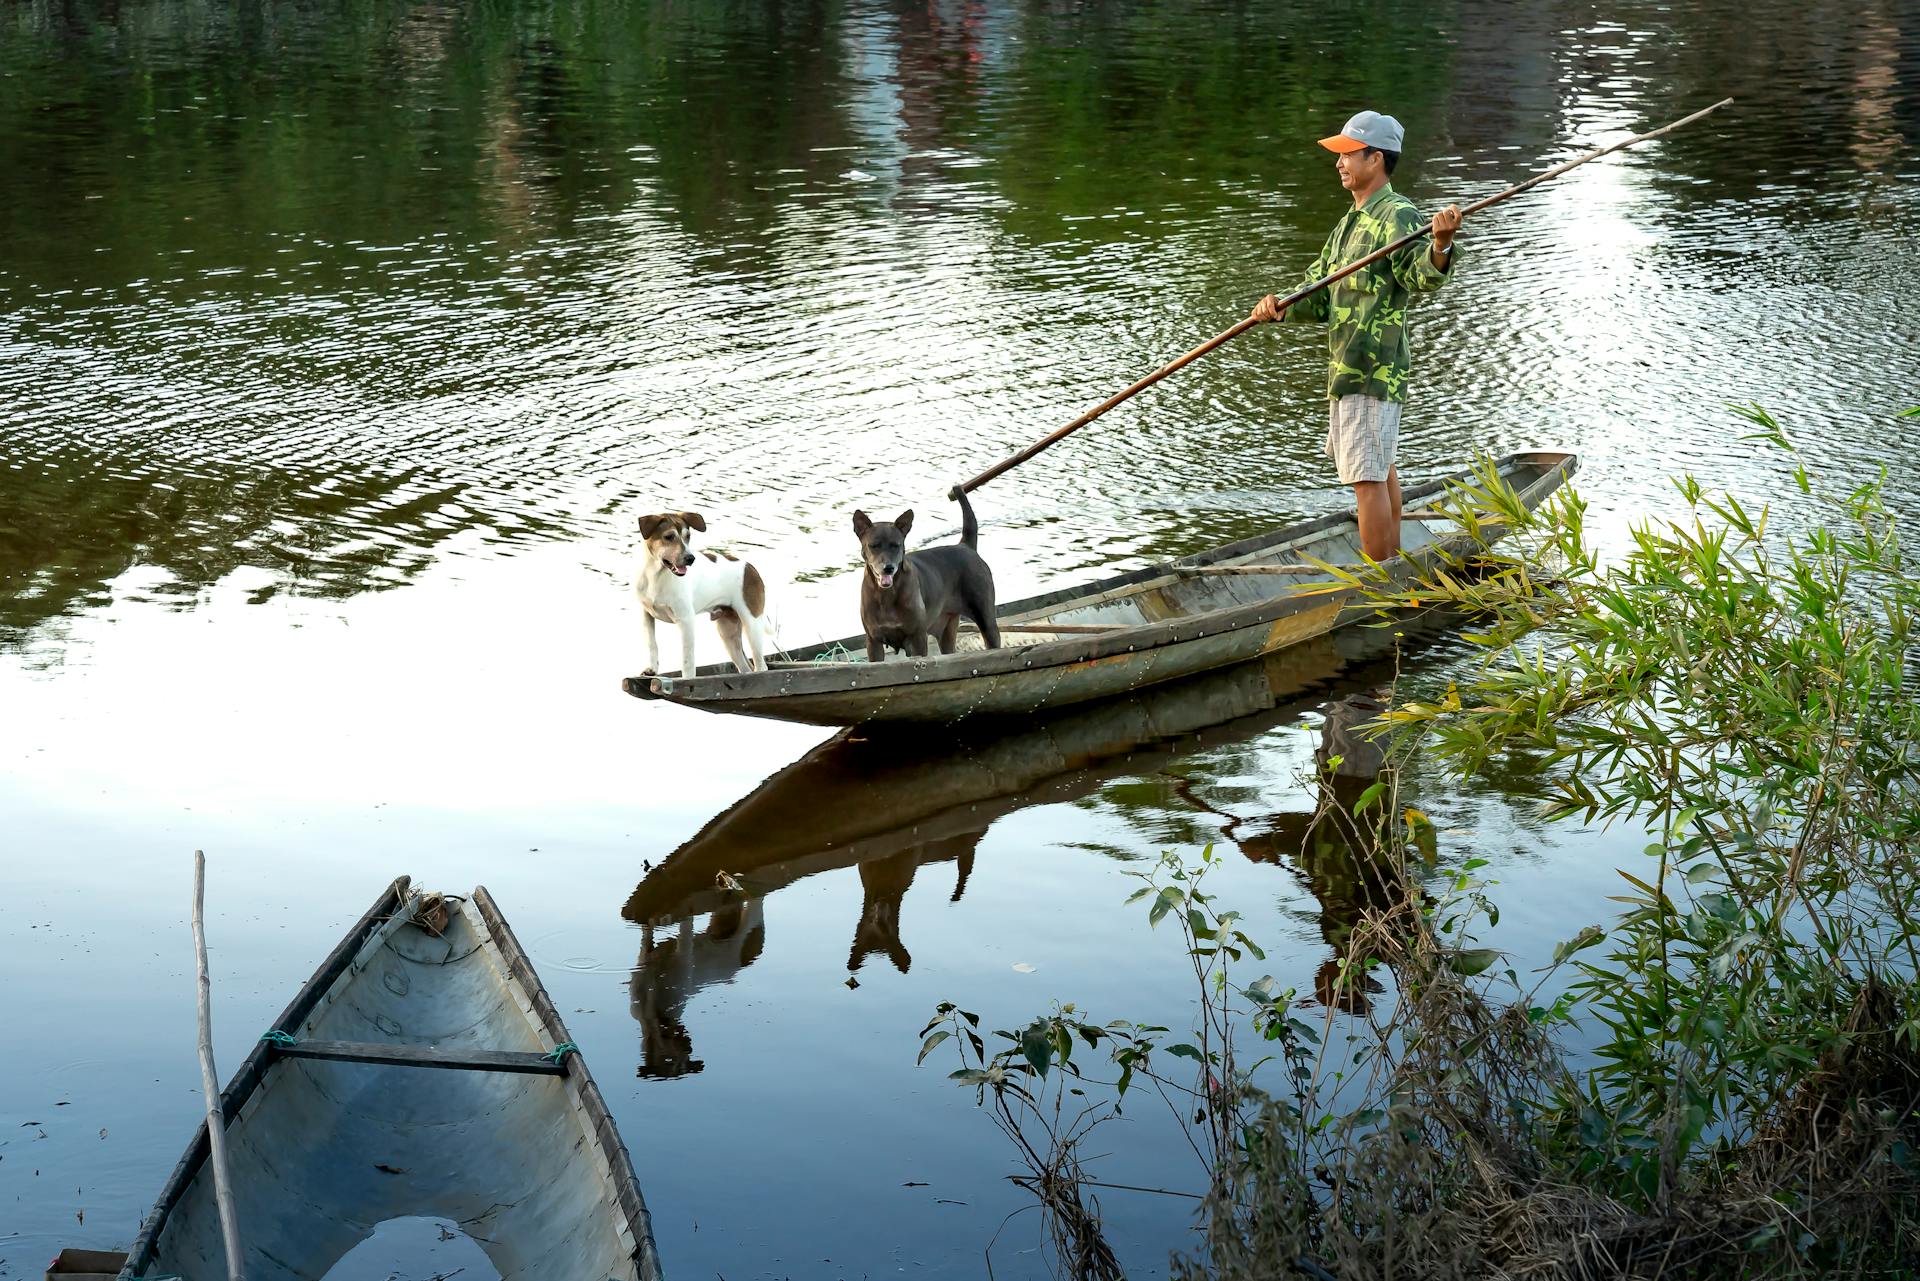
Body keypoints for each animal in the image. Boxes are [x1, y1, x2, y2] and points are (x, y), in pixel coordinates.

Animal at [637, 507, 771, 676]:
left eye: (688, 536)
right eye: (668, 537)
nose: (690, 558)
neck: (656, 575)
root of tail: (751, 567)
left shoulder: (686, 621)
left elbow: (687, 660)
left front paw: (687, 680)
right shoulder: (646, 615)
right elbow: (652, 644)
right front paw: (652, 669)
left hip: (752, 624)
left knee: (761, 666)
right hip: (728, 633)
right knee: (745, 669)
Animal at [856, 491, 1006, 660]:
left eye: (896, 545)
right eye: (873, 546)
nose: (888, 568)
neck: (886, 595)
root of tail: (966, 546)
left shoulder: (917, 638)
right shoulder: (873, 640)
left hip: (986, 619)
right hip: (947, 629)